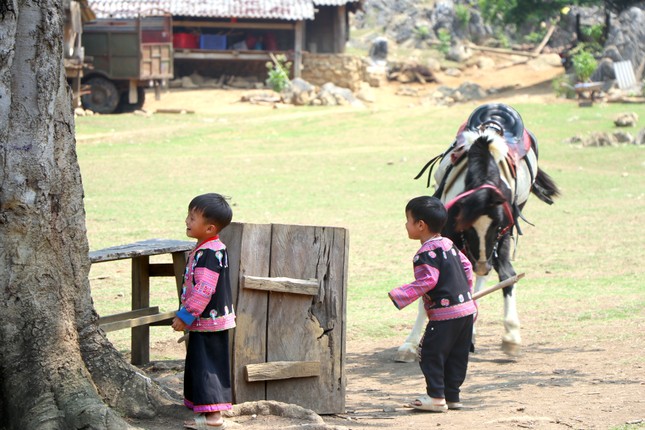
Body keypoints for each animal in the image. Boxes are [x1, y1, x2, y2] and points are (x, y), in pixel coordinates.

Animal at [394, 103, 556, 360]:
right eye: (465, 225)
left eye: (497, 225)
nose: (483, 265)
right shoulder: (450, 235)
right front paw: (409, 344)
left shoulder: (502, 234)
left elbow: (505, 274)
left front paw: (510, 335)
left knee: (497, 273)